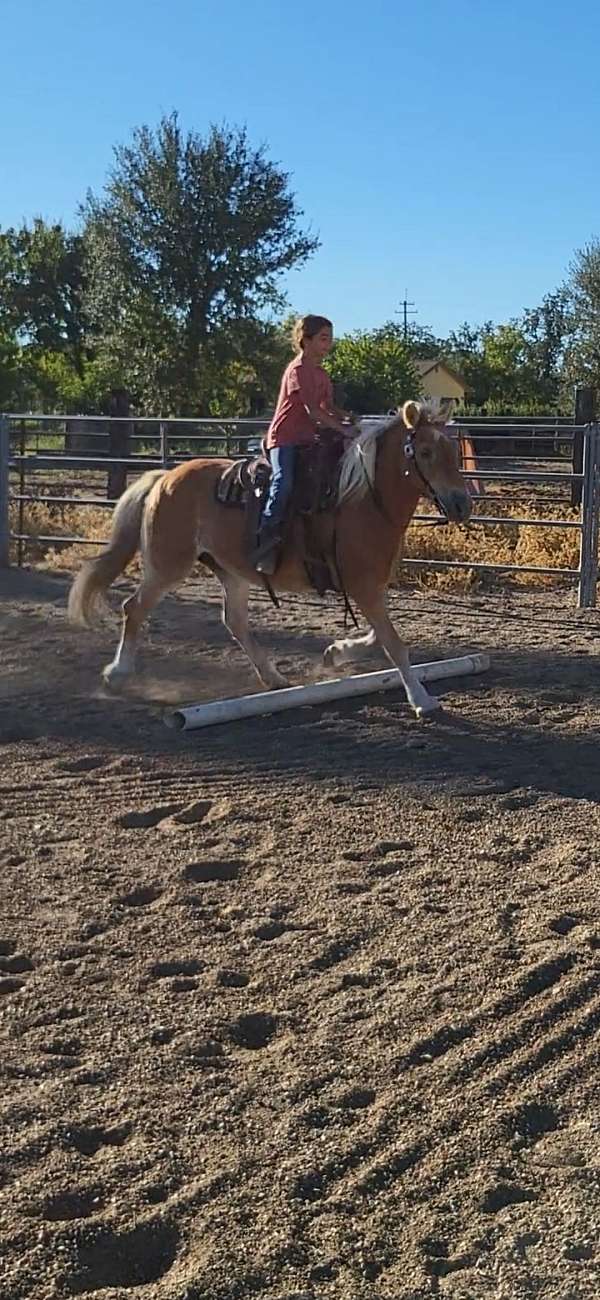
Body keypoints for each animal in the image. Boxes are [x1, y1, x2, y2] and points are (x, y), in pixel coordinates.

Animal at [69, 397, 472, 722]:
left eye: (454, 452)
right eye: (425, 452)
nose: (461, 505)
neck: (362, 500)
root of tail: (165, 477)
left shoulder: (370, 586)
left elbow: (377, 636)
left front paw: (334, 653)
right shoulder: (363, 587)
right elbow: (394, 643)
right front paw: (422, 700)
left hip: (230, 571)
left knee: (234, 621)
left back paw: (274, 678)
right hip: (168, 564)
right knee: (134, 608)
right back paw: (117, 674)